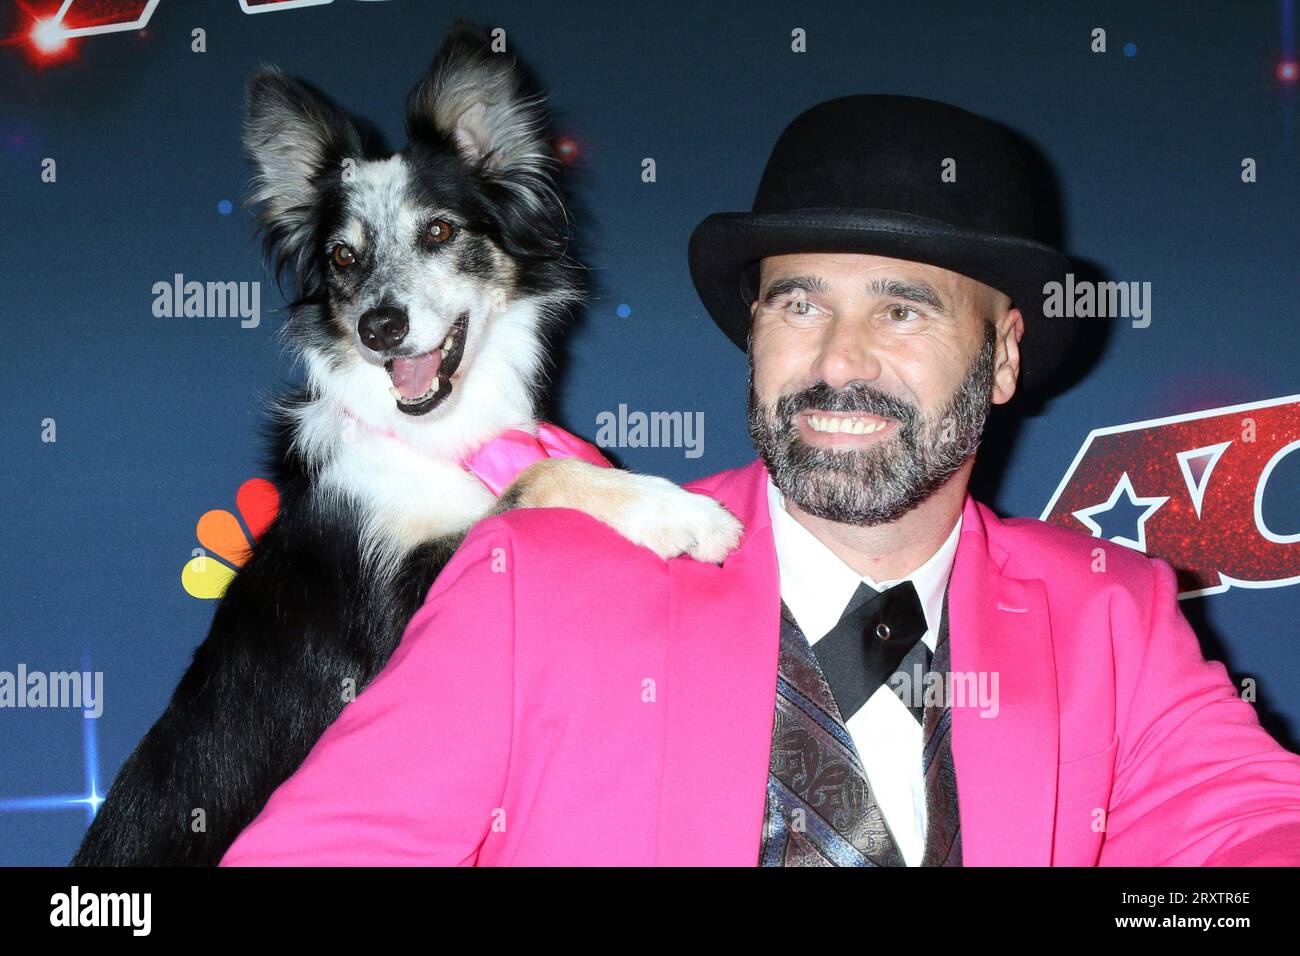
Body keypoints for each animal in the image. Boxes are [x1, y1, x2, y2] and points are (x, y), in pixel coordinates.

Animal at [73, 18, 743, 868]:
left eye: (440, 231)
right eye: (342, 257)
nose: (379, 328)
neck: (432, 437)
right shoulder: (403, 629)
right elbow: (536, 480)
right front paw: (676, 512)